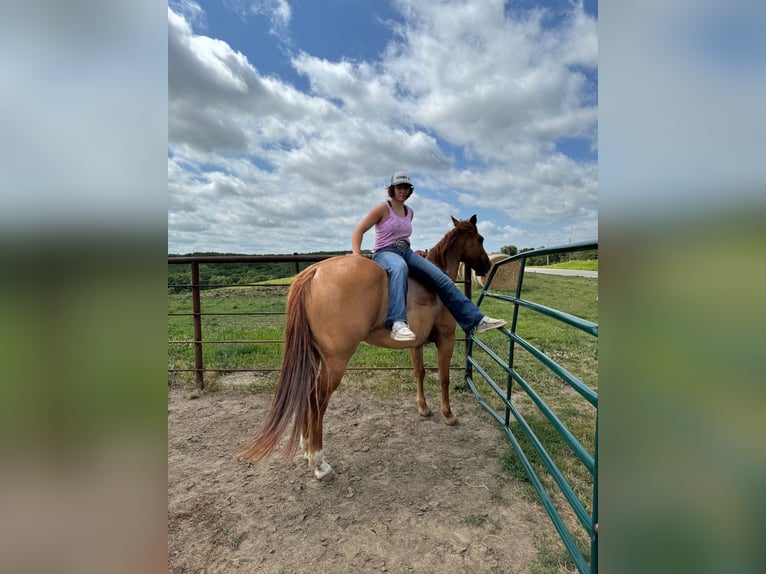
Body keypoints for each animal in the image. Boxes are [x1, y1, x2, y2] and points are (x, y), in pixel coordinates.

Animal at [238, 215, 492, 480]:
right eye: (480, 239)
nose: (486, 266)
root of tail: (314, 271)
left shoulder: (416, 344)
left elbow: (419, 373)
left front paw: (423, 408)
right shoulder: (446, 339)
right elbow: (444, 377)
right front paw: (448, 415)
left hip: (315, 357)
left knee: (307, 397)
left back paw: (307, 448)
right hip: (335, 362)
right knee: (316, 401)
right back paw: (319, 463)